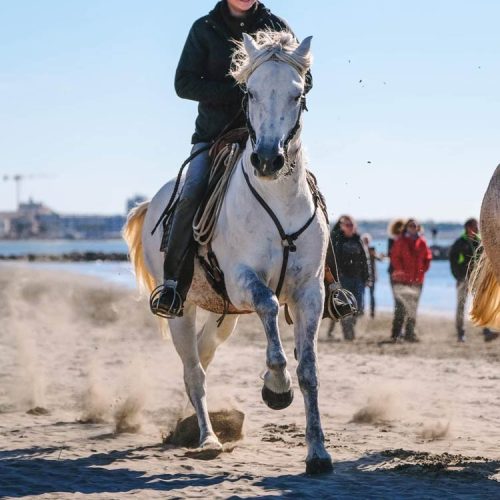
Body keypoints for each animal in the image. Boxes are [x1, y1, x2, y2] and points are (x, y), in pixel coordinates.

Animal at [123, 30, 334, 472]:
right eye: (249, 93)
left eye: (297, 94)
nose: (268, 160)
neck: (277, 200)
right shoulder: (243, 280)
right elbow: (269, 307)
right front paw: (276, 387)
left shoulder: (310, 292)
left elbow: (309, 370)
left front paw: (318, 452)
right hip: (182, 308)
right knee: (194, 372)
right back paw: (208, 439)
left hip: (226, 315)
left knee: (203, 356)